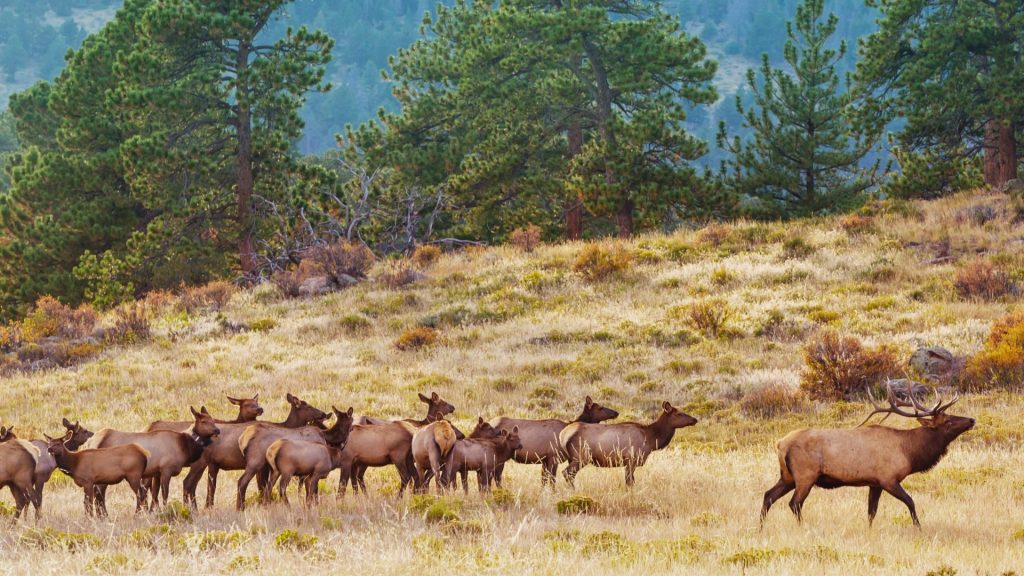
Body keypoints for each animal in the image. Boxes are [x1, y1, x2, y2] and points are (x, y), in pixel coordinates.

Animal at [87, 403, 220, 506]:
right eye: (203, 421)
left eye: (213, 420)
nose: (218, 430)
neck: (184, 447)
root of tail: (91, 442)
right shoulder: (166, 470)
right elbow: (164, 494)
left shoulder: (156, 472)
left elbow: (155, 495)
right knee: (98, 495)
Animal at [180, 389, 327, 506]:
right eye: (307, 406)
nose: (324, 414)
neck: (286, 425)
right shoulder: (263, 466)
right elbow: (262, 486)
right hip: (201, 463)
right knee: (190, 483)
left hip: (210, 464)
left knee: (204, 486)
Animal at [557, 401, 700, 485]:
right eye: (679, 413)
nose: (695, 419)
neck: (651, 439)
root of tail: (563, 435)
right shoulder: (632, 460)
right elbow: (629, 482)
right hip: (581, 457)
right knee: (567, 473)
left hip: (574, 458)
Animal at [761, 383, 974, 528]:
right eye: (947, 421)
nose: (972, 420)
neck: (909, 452)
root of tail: (780, 444)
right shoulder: (888, 479)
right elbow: (910, 502)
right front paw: (918, 528)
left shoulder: (875, 483)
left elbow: (871, 512)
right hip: (806, 475)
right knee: (794, 503)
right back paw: (802, 526)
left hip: (787, 477)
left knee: (768, 495)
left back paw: (761, 527)